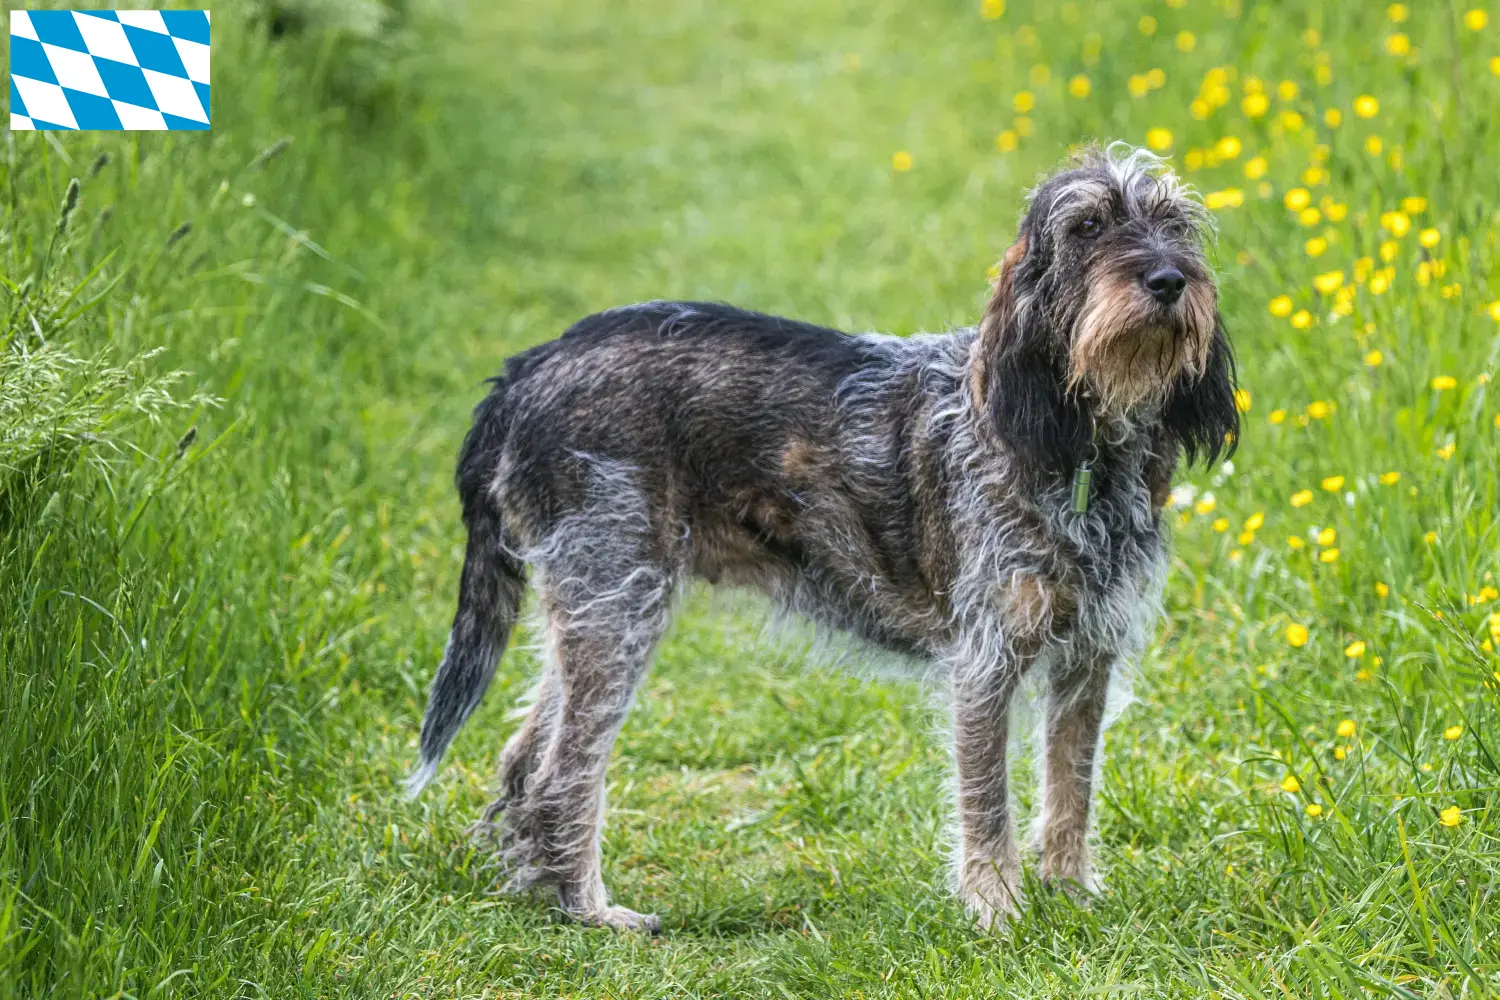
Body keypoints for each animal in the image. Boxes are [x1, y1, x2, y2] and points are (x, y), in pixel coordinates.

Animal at [405, 144, 1236, 935]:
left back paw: (540, 892)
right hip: (617, 608)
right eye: (1088, 226)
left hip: (590, 608)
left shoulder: (1088, 659)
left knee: (523, 759)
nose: (1169, 279)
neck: (1080, 447)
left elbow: (1070, 790)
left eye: (1174, 222)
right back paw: (589, 911)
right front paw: (997, 911)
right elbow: (988, 802)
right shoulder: (984, 664)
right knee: (563, 775)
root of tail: (525, 369)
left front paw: (1070, 896)